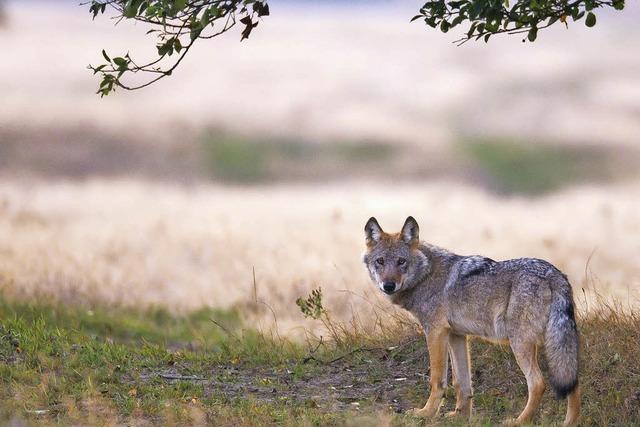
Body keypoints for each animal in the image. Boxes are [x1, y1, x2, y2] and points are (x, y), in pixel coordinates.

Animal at [364, 217, 580, 427]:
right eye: (380, 261)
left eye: (401, 261)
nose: (388, 285)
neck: (426, 274)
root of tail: (555, 274)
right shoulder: (456, 335)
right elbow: (462, 383)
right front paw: (460, 417)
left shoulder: (435, 332)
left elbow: (437, 380)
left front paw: (426, 414)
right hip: (559, 345)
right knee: (573, 380)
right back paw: (570, 422)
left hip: (520, 344)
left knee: (538, 383)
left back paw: (520, 421)